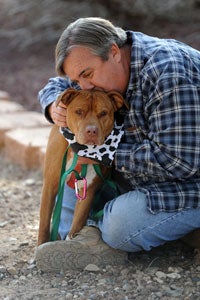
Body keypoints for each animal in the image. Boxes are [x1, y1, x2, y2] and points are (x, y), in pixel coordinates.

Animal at [37, 87, 124, 246]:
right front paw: (40, 246)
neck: (80, 149)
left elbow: (76, 224)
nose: (91, 130)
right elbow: (44, 223)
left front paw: (71, 242)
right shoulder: (50, 185)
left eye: (103, 113)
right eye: (79, 111)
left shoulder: (87, 190)